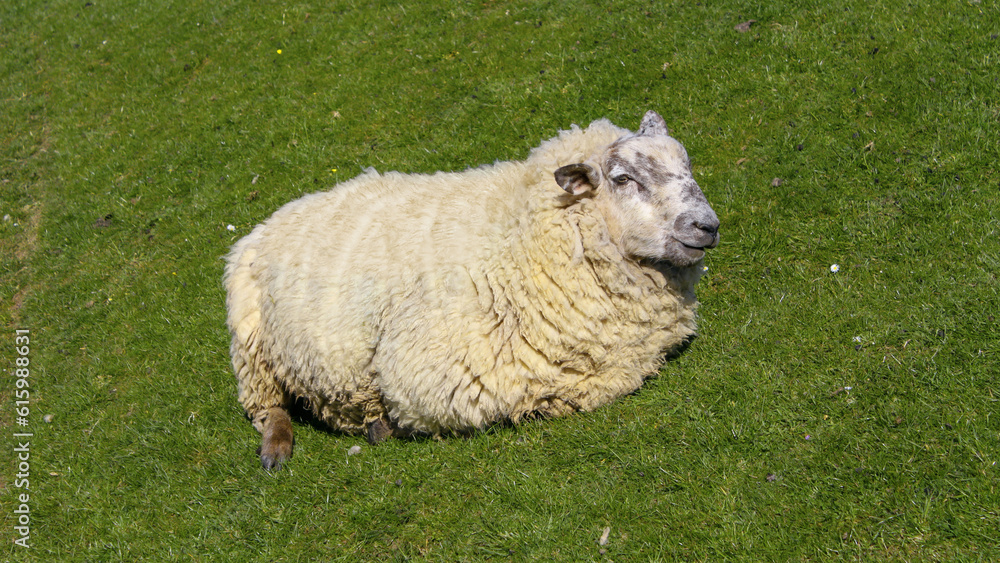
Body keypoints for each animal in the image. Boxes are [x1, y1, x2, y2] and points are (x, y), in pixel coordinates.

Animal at [225, 110, 720, 469]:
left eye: (687, 163)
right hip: (251, 344)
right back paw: (278, 449)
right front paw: (383, 423)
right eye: (623, 179)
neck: (520, 232)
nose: (707, 226)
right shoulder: (424, 374)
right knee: (267, 409)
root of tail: (271, 219)